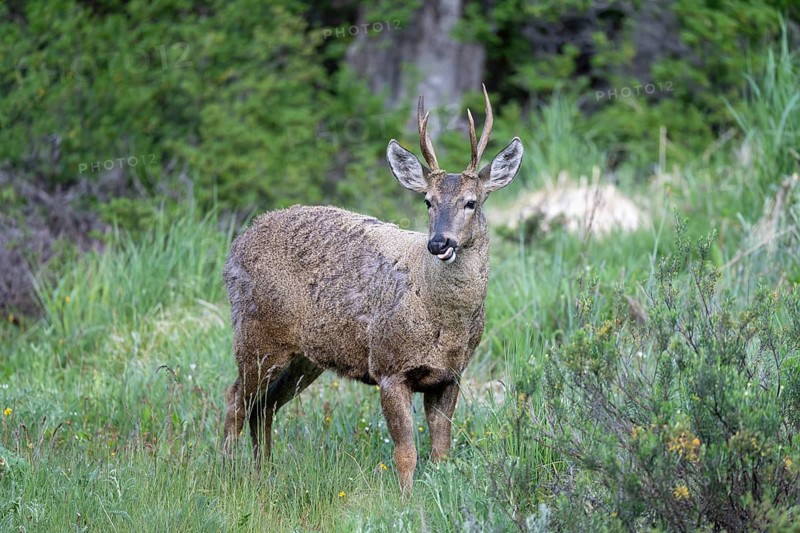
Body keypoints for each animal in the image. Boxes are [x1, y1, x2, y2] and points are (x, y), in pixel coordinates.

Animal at [222, 85, 523, 492]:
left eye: (471, 202)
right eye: (427, 201)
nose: (439, 243)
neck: (443, 319)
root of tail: (236, 245)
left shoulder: (450, 375)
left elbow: (441, 453)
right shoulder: (388, 365)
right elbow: (406, 454)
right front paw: (405, 500)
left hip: (305, 357)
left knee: (264, 406)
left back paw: (264, 472)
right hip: (256, 337)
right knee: (235, 400)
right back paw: (225, 473)